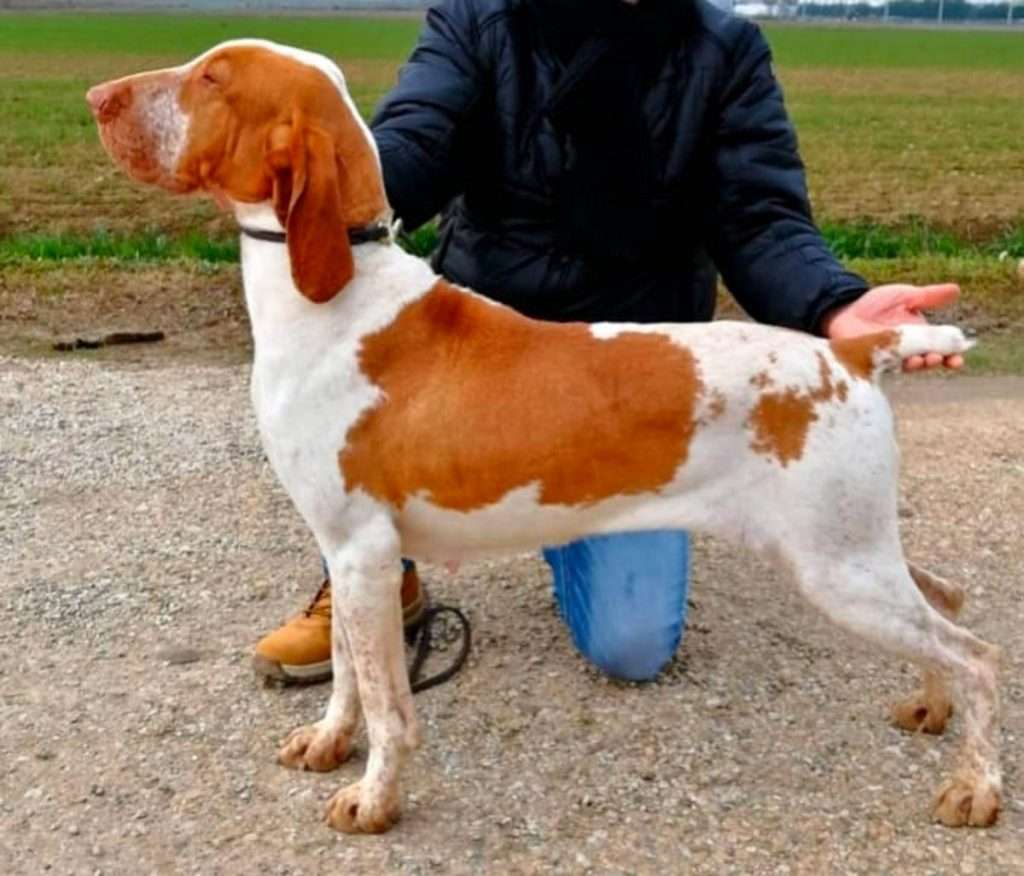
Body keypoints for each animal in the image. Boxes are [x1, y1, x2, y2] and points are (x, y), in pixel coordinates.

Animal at [90, 40, 999, 836]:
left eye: (212, 77)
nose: (97, 97)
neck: (337, 302)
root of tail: (851, 352)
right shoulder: (346, 553)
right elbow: (348, 674)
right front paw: (327, 743)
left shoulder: (362, 552)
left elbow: (389, 705)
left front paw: (375, 800)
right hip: (845, 548)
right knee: (946, 596)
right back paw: (930, 705)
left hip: (836, 563)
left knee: (978, 652)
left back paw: (976, 788)